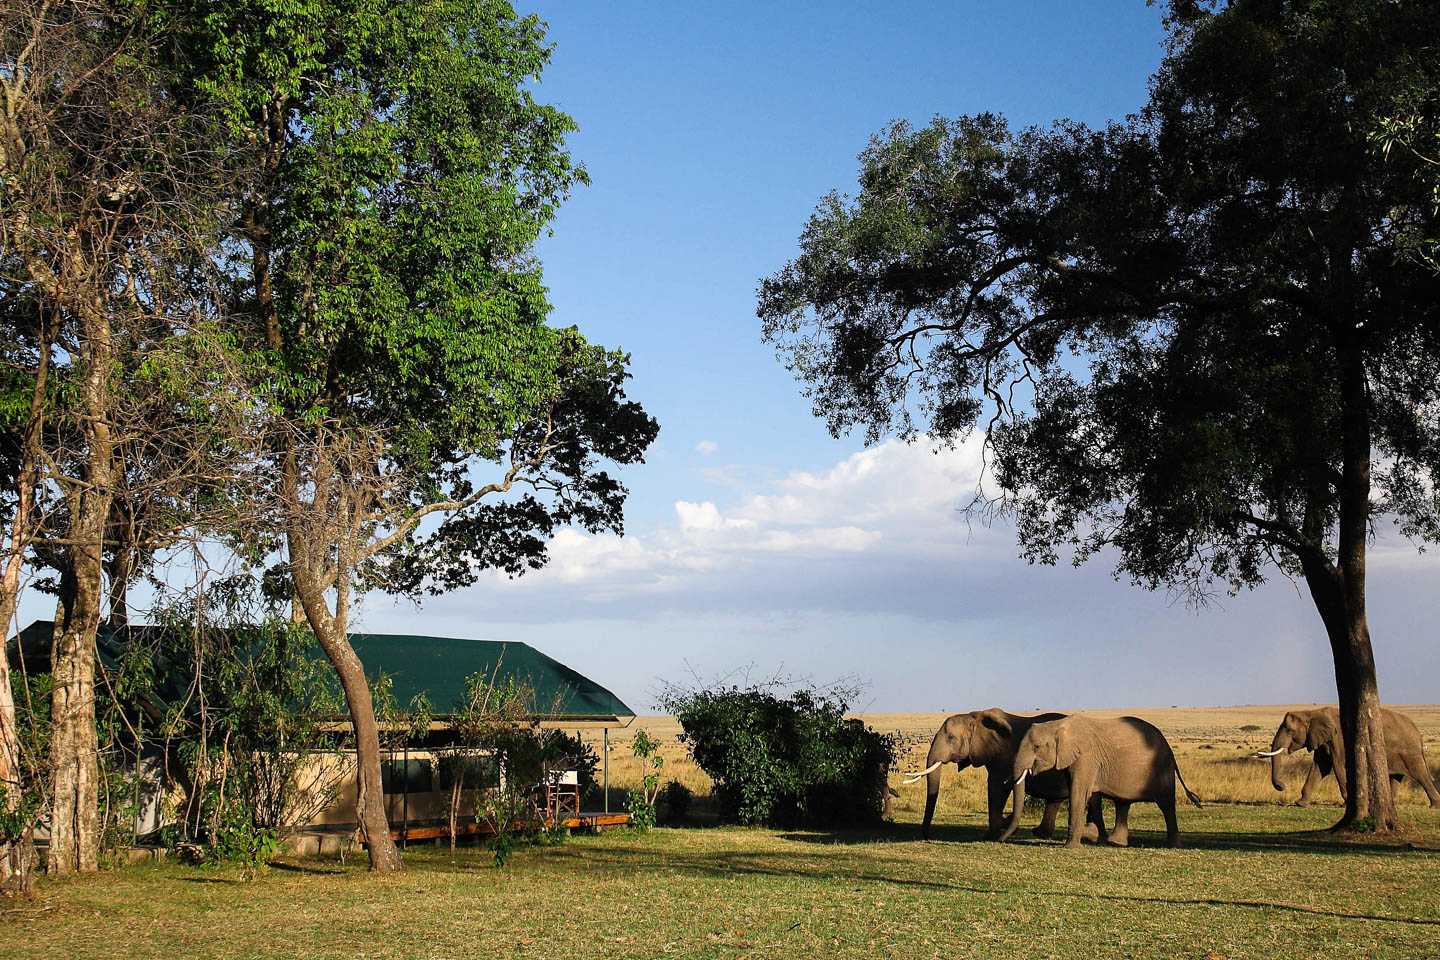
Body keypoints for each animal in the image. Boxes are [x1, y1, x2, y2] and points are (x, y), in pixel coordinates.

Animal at [903, 708, 1103, 841]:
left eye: (951, 738)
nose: (928, 836)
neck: (974, 717)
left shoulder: (1002, 756)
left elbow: (997, 787)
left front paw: (990, 835)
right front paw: (1002, 826)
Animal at [1001, 715, 1201, 848]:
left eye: (1037, 747)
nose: (1000, 839)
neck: (1059, 725)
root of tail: (1168, 746)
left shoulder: (1086, 757)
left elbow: (1078, 792)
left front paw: (1073, 846)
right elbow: (1083, 792)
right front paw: (1092, 834)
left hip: (1162, 768)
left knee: (1166, 805)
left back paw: (1173, 845)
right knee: (1122, 804)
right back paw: (1115, 842)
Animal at [1255, 706, 1440, 808]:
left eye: (1289, 730)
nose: (1282, 786)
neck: (1312, 712)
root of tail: (1418, 733)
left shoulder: (1339, 739)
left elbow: (1338, 766)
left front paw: (1346, 804)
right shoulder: (1323, 739)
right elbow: (1320, 767)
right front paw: (1300, 803)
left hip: (1410, 752)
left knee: (1420, 774)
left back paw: (1434, 805)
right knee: (1396, 777)